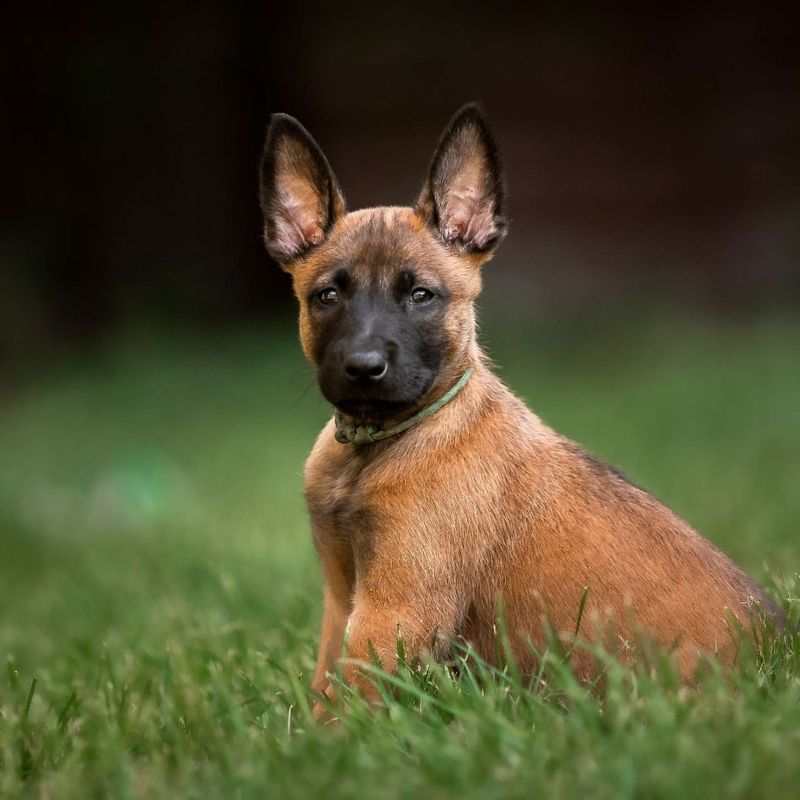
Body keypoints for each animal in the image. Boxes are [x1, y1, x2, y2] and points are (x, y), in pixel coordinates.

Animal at [260, 103, 780, 708]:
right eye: (327, 296)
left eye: (421, 296)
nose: (364, 368)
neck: (380, 445)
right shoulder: (343, 596)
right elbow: (326, 688)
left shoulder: (396, 609)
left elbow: (354, 701)